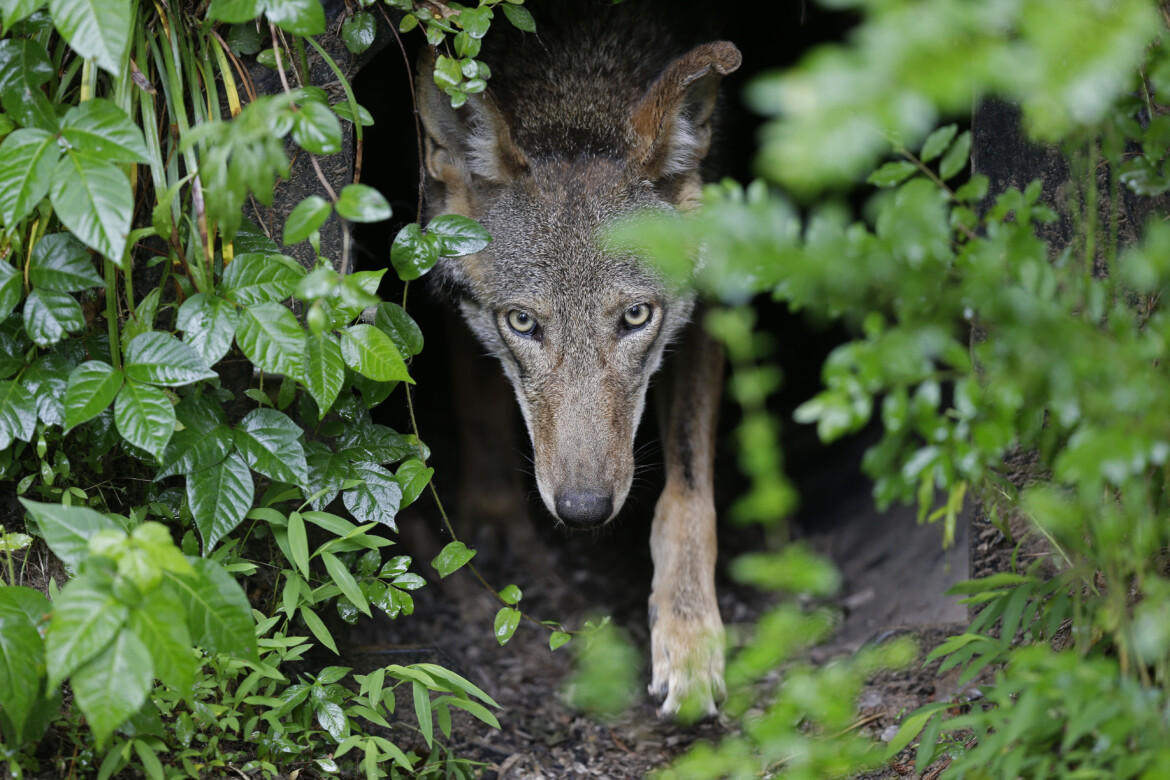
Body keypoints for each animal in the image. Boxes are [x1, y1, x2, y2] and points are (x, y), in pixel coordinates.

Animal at [414, 0, 739, 720]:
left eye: (636, 317)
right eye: (523, 323)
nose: (584, 510)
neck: (578, 76)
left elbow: (689, 493)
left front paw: (689, 636)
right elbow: (479, 402)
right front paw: (495, 516)